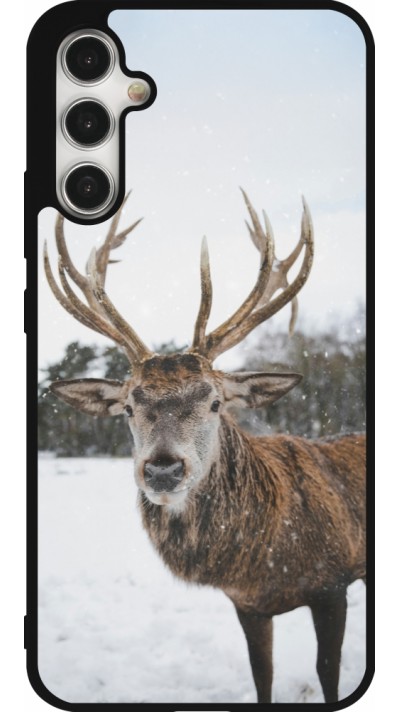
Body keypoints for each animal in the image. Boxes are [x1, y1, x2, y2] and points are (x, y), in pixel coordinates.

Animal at [43, 191, 366, 704]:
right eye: (129, 407)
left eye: (215, 402)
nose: (163, 470)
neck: (266, 558)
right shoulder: (248, 604)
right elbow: (262, 675)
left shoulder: (333, 582)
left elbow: (328, 672)